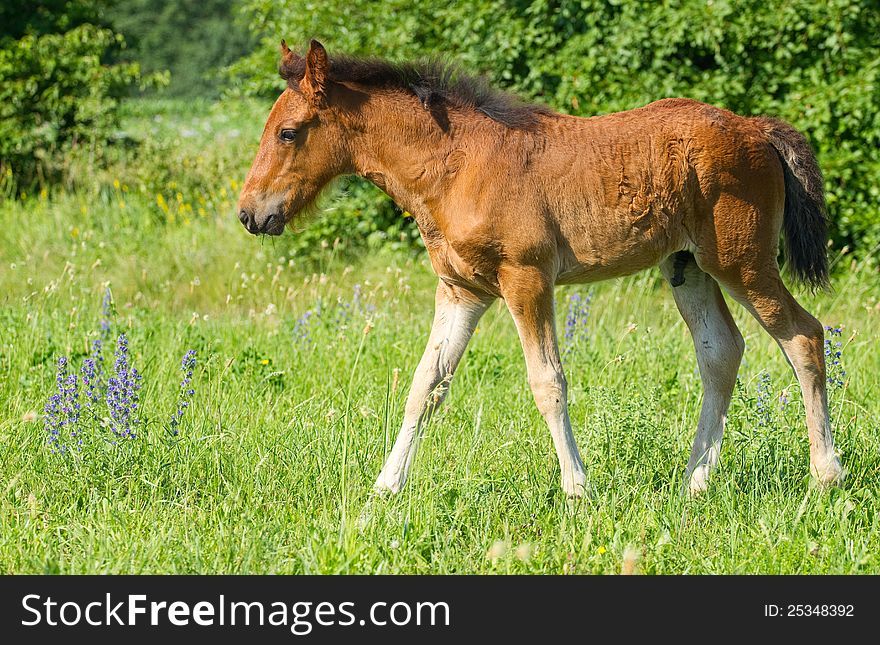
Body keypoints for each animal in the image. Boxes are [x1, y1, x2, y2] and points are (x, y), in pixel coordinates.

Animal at [237, 40, 844, 496]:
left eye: (288, 131)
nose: (250, 213)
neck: (457, 165)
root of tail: (757, 128)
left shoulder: (526, 278)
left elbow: (547, 380)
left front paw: (578, 488)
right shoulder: (461, 289)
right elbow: (425, 384)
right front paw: (385, 488)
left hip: (742, 261)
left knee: (803, 336)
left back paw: (826, 474)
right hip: (688, 267)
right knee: (721, 352)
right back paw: (694, 482)